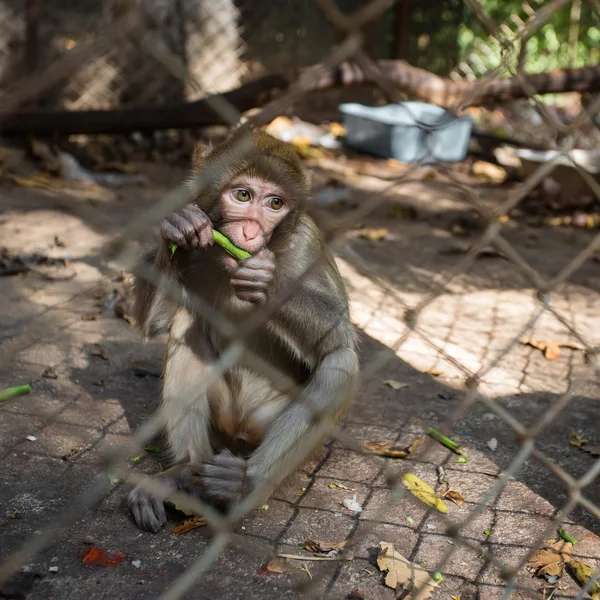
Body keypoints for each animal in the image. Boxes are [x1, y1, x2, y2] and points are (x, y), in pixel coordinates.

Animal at [128, 129, 358, 532]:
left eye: (275, 203)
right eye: (243, 195)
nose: (251, 231)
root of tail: (240, 431)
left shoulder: (307, 244)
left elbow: (338, 337)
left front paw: (270, 283)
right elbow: (155, 323)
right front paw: (177, 230)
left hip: (267, 425)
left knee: (340, 362)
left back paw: (242, 487)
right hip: (221, 421)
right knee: (186, 321)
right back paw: (183, 472)